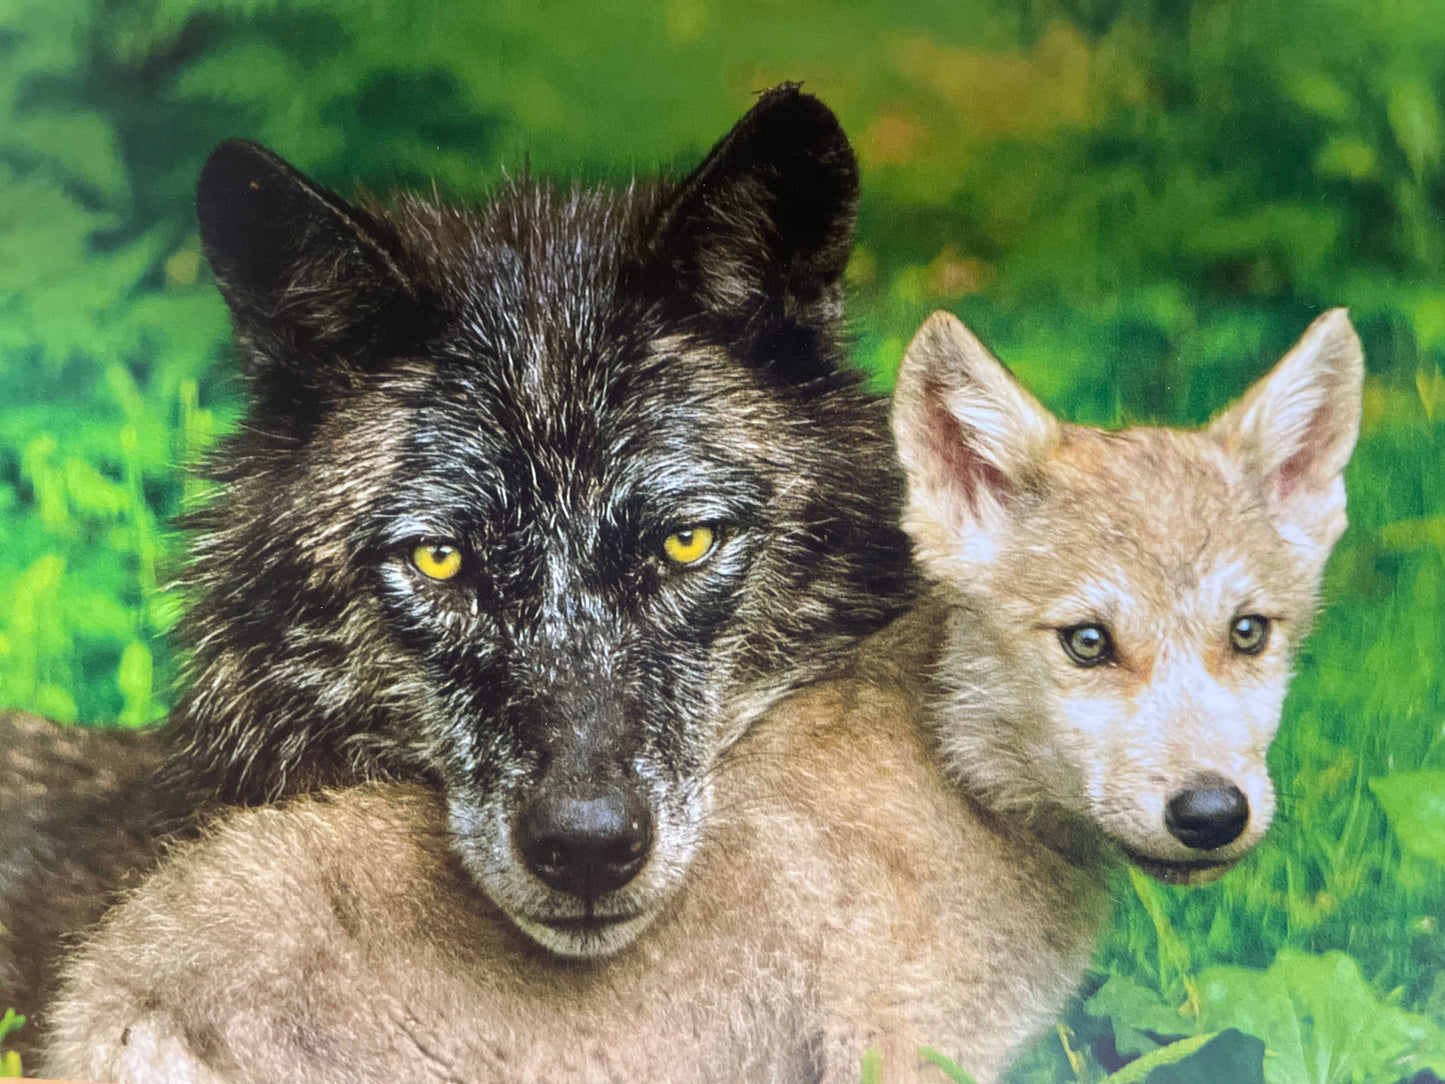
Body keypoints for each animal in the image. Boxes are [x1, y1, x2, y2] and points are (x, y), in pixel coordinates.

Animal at [41, 309, 1362, 1083]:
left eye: (1248, 634)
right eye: (1086, 642)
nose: (1211, 812)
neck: (950, 783)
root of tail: (115, 994)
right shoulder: (888, 1057)